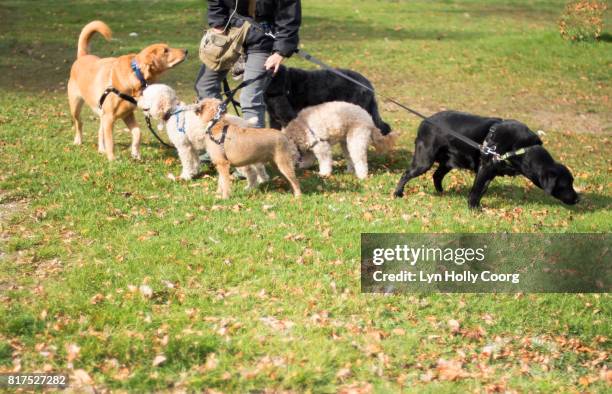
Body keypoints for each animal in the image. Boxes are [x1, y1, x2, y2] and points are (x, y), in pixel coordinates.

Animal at [67, 20, 186, 160]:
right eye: (165, 51)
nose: (186, 50)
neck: (136, 74)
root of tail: (82, 56)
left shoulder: (127, 114)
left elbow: (138, 132)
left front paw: (136, 153)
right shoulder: (109, 118)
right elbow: (111, 141)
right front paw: (112, 159)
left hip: (101, 114)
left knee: (100, 131)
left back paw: (101, 149)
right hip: (76, 107)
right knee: (79, 123)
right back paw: (78, 141)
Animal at [139, 83, 268, 185]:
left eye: (145, 96)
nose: (137, 102)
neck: (173, 112)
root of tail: (244, 123)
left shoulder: (183, 147)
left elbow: (187, 162)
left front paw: (185, 176)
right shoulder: (191, 146)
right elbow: (195, 160)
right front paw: (194, 172)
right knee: (259, 166)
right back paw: (263, 179)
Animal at [392, 111, 580, 209]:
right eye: (566, 184)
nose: (578, 199)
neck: (521, 149)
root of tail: (424, 122)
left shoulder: (491, 172)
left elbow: (481, 190)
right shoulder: (485, 167)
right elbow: (476, 191)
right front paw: (474, 210)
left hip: (449, 162)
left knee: (436, 176)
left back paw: (442, 193)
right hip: (424, 160)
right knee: (406, 174)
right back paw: (397, 193)